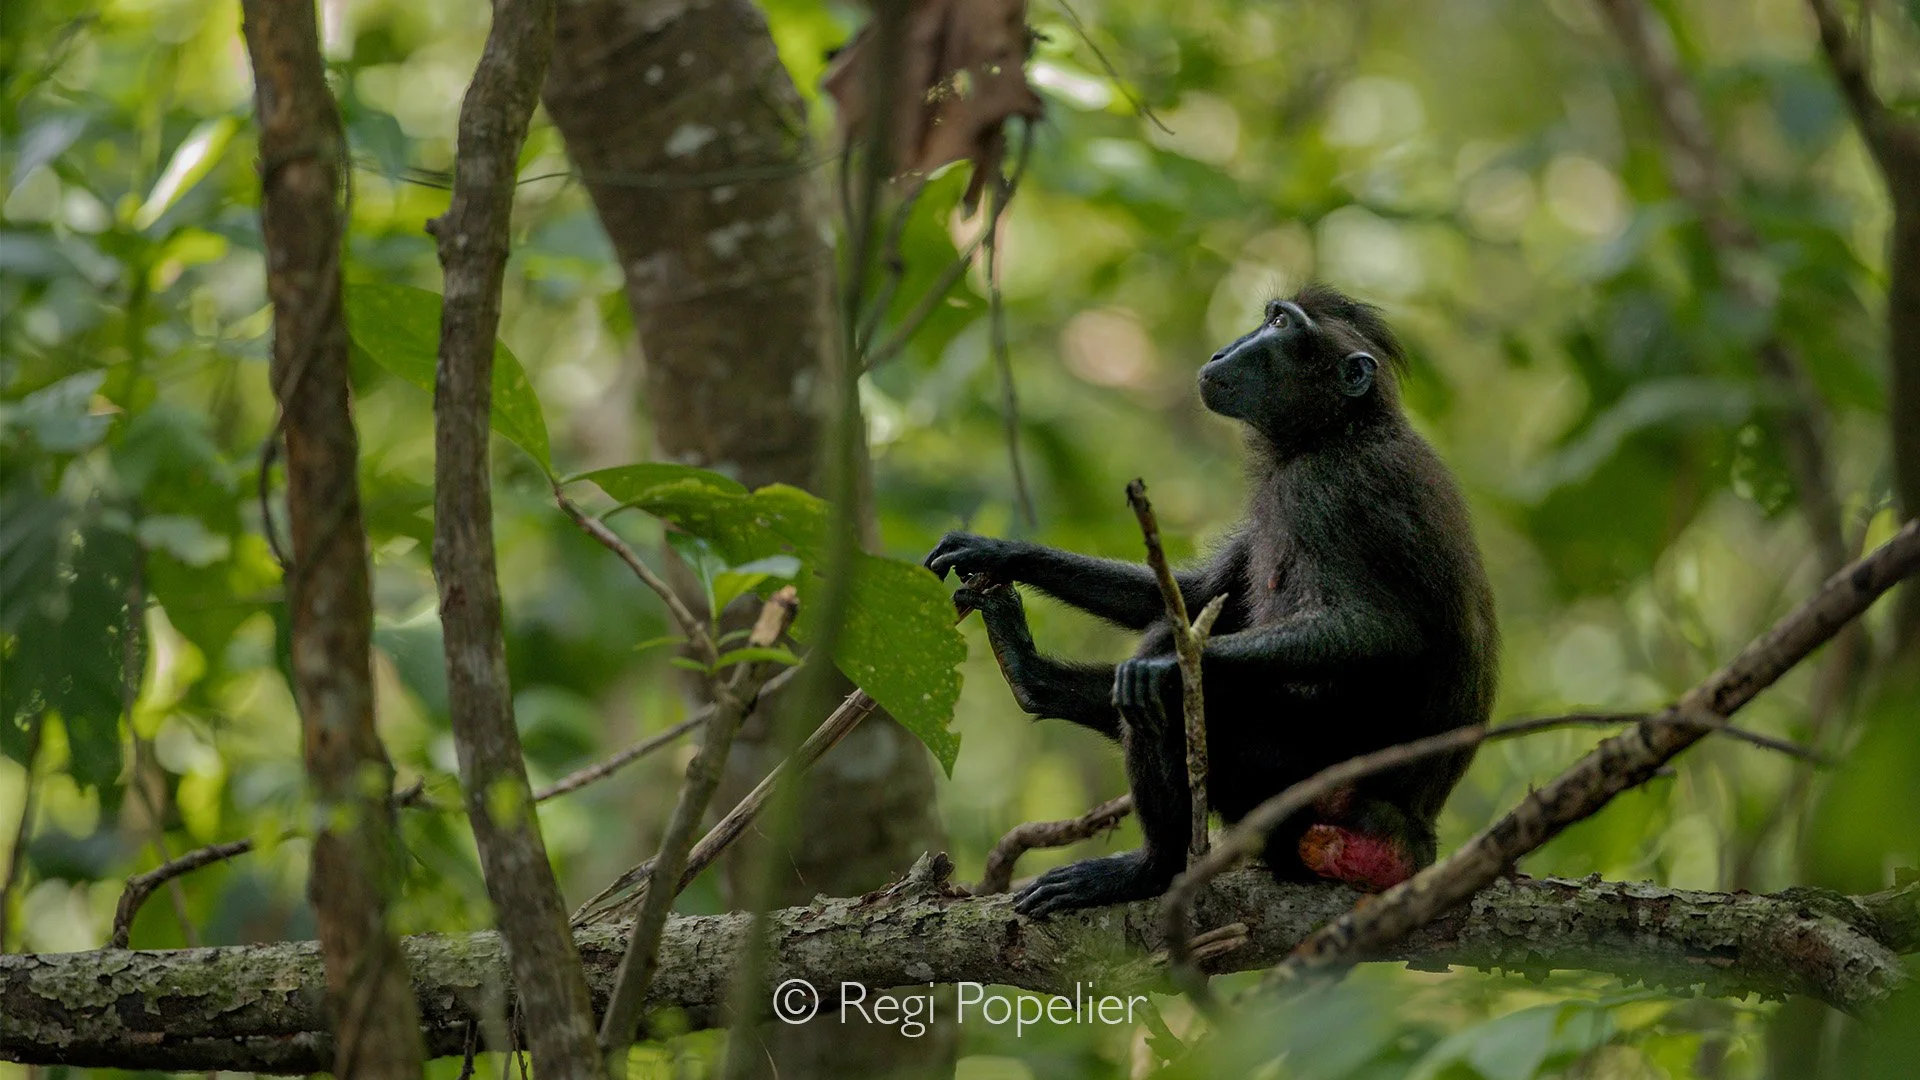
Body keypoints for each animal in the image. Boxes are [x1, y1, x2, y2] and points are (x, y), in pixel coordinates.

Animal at [925, 284, 1498, 916]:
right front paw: (1002, 553)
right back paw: (1029, 674)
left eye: (1281, 325)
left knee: (1167, 691)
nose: (1228, 349)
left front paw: (1163, 668)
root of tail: (1409, 836)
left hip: (1293, 783)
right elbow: (1197, 595)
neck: (1338, 429)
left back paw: (1151, 869)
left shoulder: (1331, 490)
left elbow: (1373, 630)